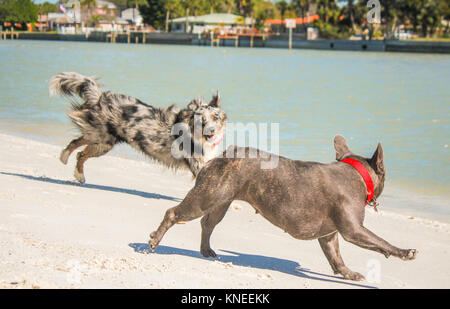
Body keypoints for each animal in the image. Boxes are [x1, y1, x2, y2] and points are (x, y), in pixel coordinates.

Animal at [49, 72, 227, 183]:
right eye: (201, 120)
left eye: (215, 117)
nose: (211, 131)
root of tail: (100, 96)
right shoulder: (197, 164)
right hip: (103, 140)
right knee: (80, 152)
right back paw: (75, 170)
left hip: (102, 139)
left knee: (78, 146)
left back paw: (67, 160)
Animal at [149, 135, 416, 280]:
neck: (357, 174)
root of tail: (224, 153)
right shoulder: (353, 230)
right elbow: (380, 241)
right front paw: (403, 252)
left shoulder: (329, 235)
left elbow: (336, 257)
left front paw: (348, 274)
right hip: (205, 198)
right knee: (173, 213)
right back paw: (154, 241)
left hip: (219, 202)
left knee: (208, 224)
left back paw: (206, 251)